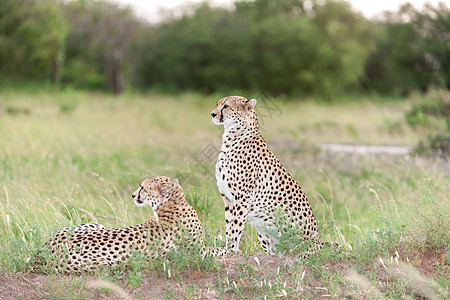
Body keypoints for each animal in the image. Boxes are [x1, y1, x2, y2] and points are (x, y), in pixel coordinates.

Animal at [36, 176, 208, 274]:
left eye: (142, 187)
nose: (133, 195)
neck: (172, 203)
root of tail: (47, 249)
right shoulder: (200, 253)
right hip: (103, 260)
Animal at [211, 95, 324, 255]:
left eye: (226, 106)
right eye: (218, 104)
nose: (212, 114)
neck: (232, 137)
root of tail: (320, 245)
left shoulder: (242, 197)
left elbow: (235, 226)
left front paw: (230, 251)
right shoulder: (227, 198)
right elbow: (229, 225)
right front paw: (227, 249)